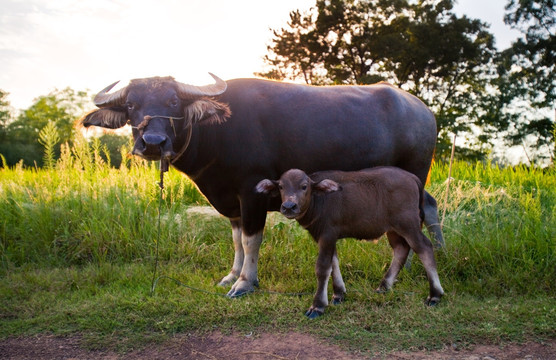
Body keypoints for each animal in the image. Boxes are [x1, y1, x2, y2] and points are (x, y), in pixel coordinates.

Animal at [81, 74, 444, 298]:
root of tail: (424, 111)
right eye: (131, 105)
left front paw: (245, 283)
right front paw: (231, 275)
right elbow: (236, 240)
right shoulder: (231, 201)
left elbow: (251, 239)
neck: (217, 130)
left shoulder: (251, 192)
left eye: (173, 102)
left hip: (411, 181)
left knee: (414, 228)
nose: (153, 142)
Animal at [255, 166, 444, 318]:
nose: (289, 206)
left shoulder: (327, 234)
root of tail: (412, 178)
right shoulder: (327, 237)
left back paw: (435, 295)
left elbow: (323, 267)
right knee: (401, 249)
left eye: (304, 186)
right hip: (393, 229)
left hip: (408, 223)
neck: (319, 200)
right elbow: (334, 263)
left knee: (424, 247)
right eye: (281, 186)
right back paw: (384, 286)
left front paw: (318, 306)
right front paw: (339, 294)